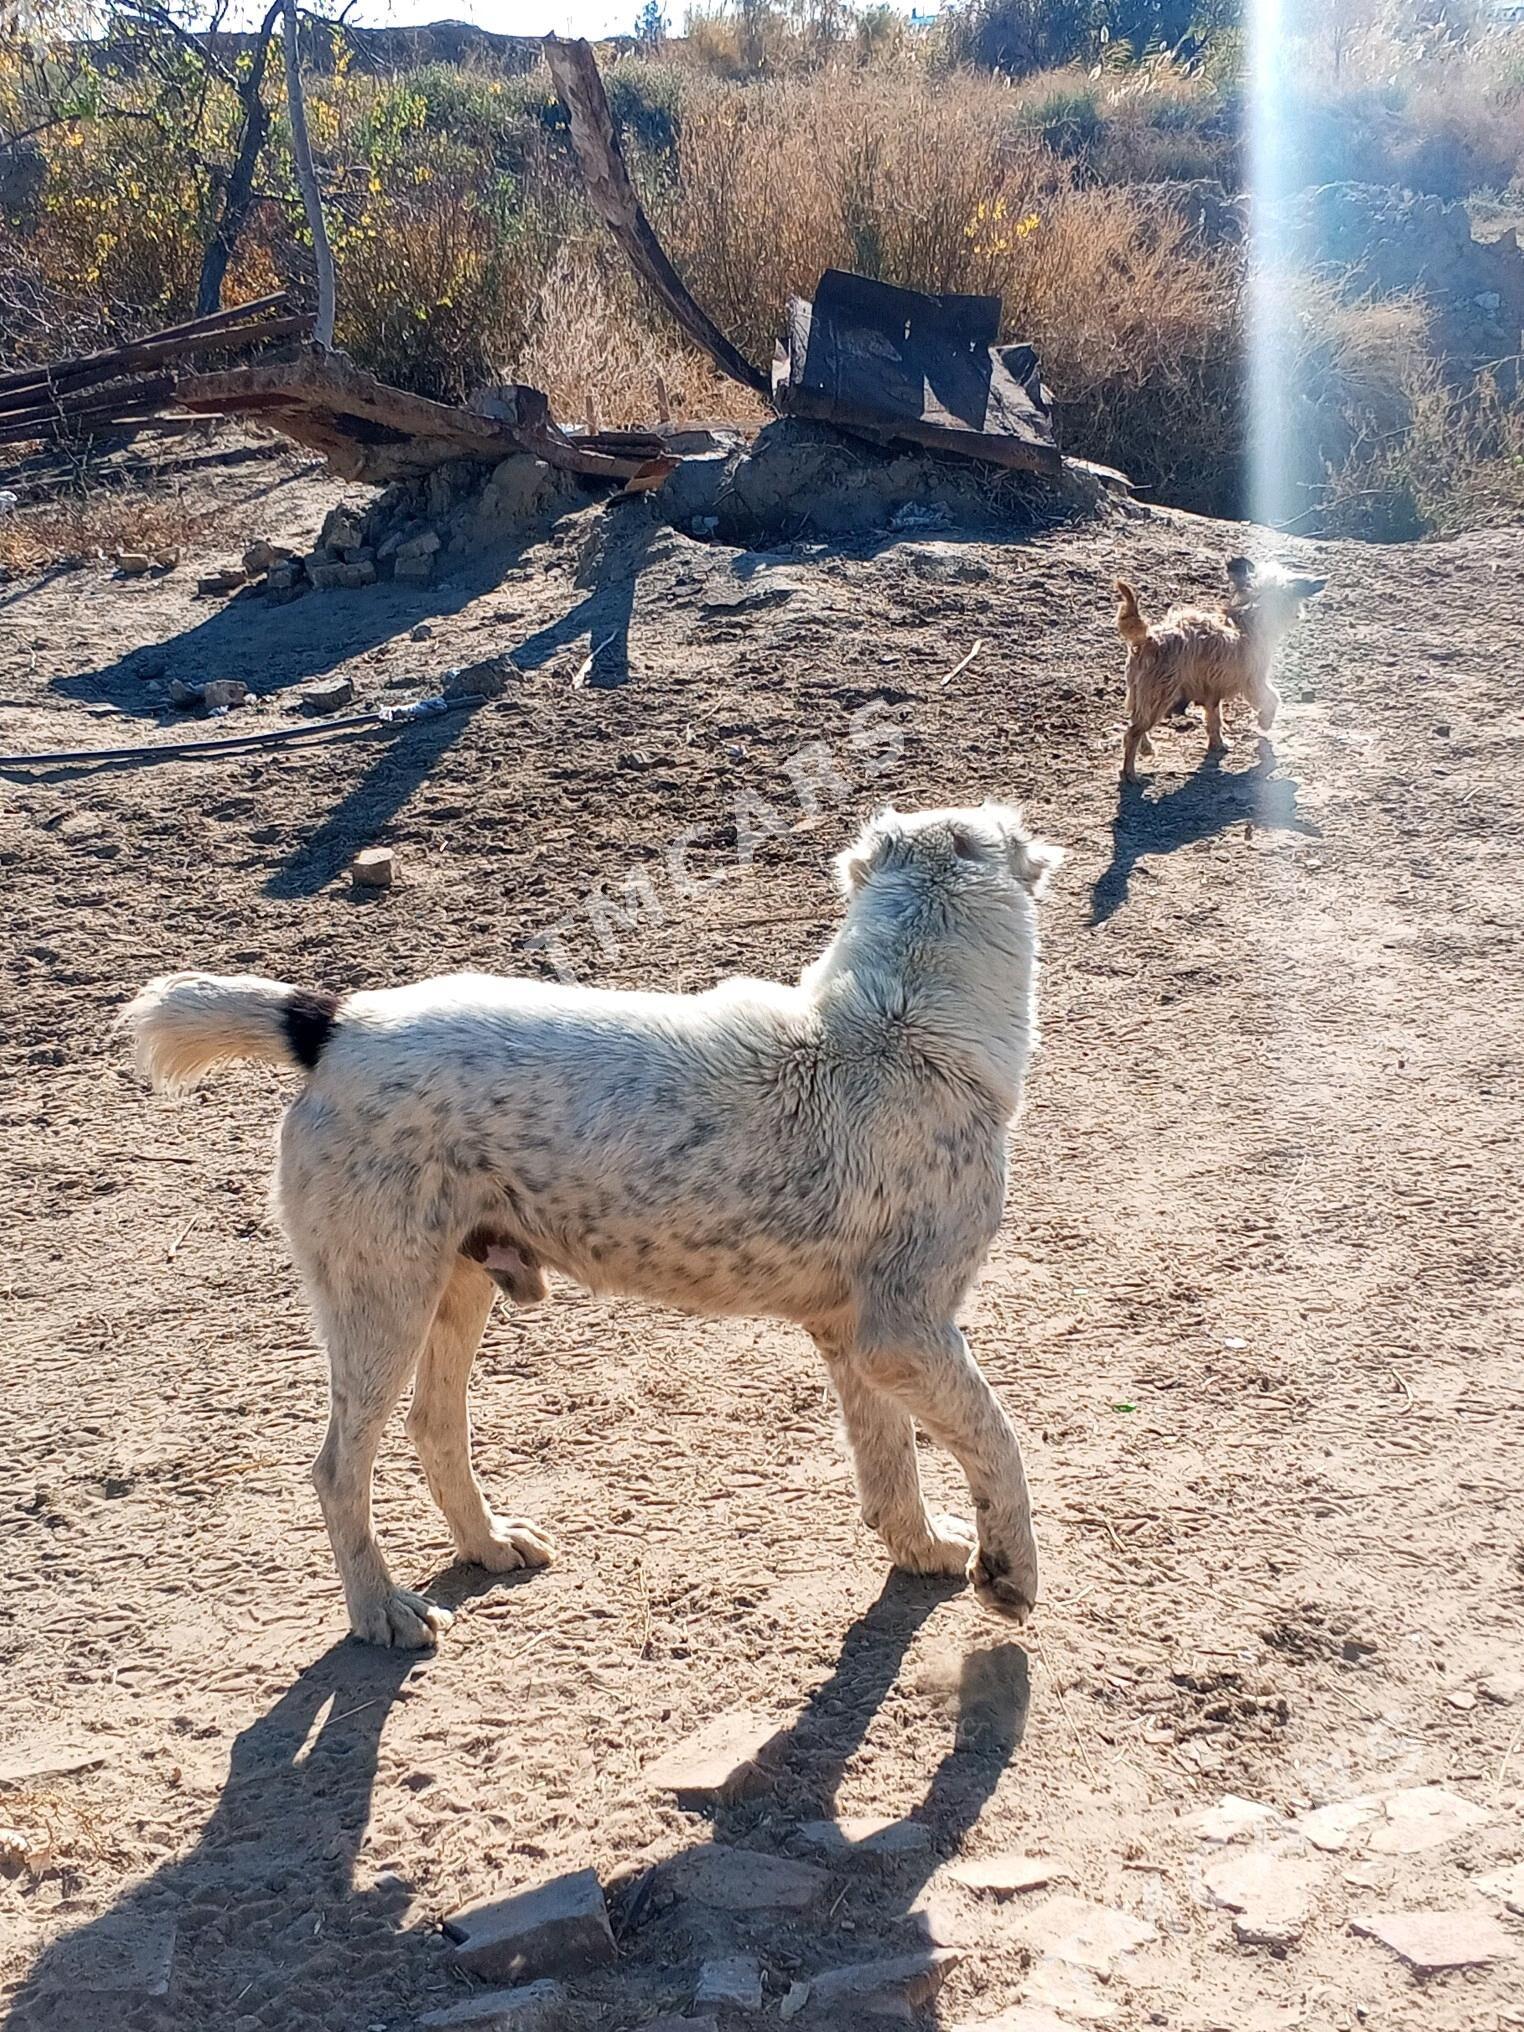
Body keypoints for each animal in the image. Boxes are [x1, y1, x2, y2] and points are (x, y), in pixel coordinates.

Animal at [122, 796, 1064, 1649]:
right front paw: (1009, 1575)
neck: (897, 1029)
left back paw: (486, 1543)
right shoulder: (907, 1333)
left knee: (434, 1429)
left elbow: (890, 1465)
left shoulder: (852, 1336)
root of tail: (336, 1025)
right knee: (337, 1472)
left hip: (455, 1289)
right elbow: (1001, 1444)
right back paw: (378, 1610)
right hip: (381, 1306)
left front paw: (923, 1549)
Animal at [1113, 560, 1332, 780]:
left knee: (1136, 721)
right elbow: (1272, 699)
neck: (1251, 616)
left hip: (1142, 693)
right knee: (1132, 733)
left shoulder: (1211, 691)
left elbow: (1214, 719)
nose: (1299, 615)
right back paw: (1130, 773)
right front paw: (1265, 722)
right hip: (1159, 696)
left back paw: (1146, 747)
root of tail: (1150, 638)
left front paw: (1218, 744)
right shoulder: (1254, 681)